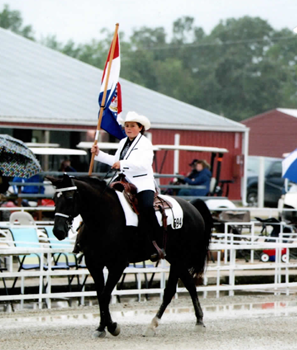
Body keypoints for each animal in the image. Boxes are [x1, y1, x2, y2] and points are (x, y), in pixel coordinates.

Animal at [46, 174, 213, 338]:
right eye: (54, 198)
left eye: (69, 198)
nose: (58, 231)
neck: (103, 217)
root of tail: (192, 207)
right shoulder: (94, 263)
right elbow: (100, 295)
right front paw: (101, 328)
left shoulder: (117, 264)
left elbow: (105, 295)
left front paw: (112, 327)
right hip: (175, 258)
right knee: (188, 285)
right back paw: (196, 321)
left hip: (179, 258)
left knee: (171, 290)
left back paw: (155, 325)